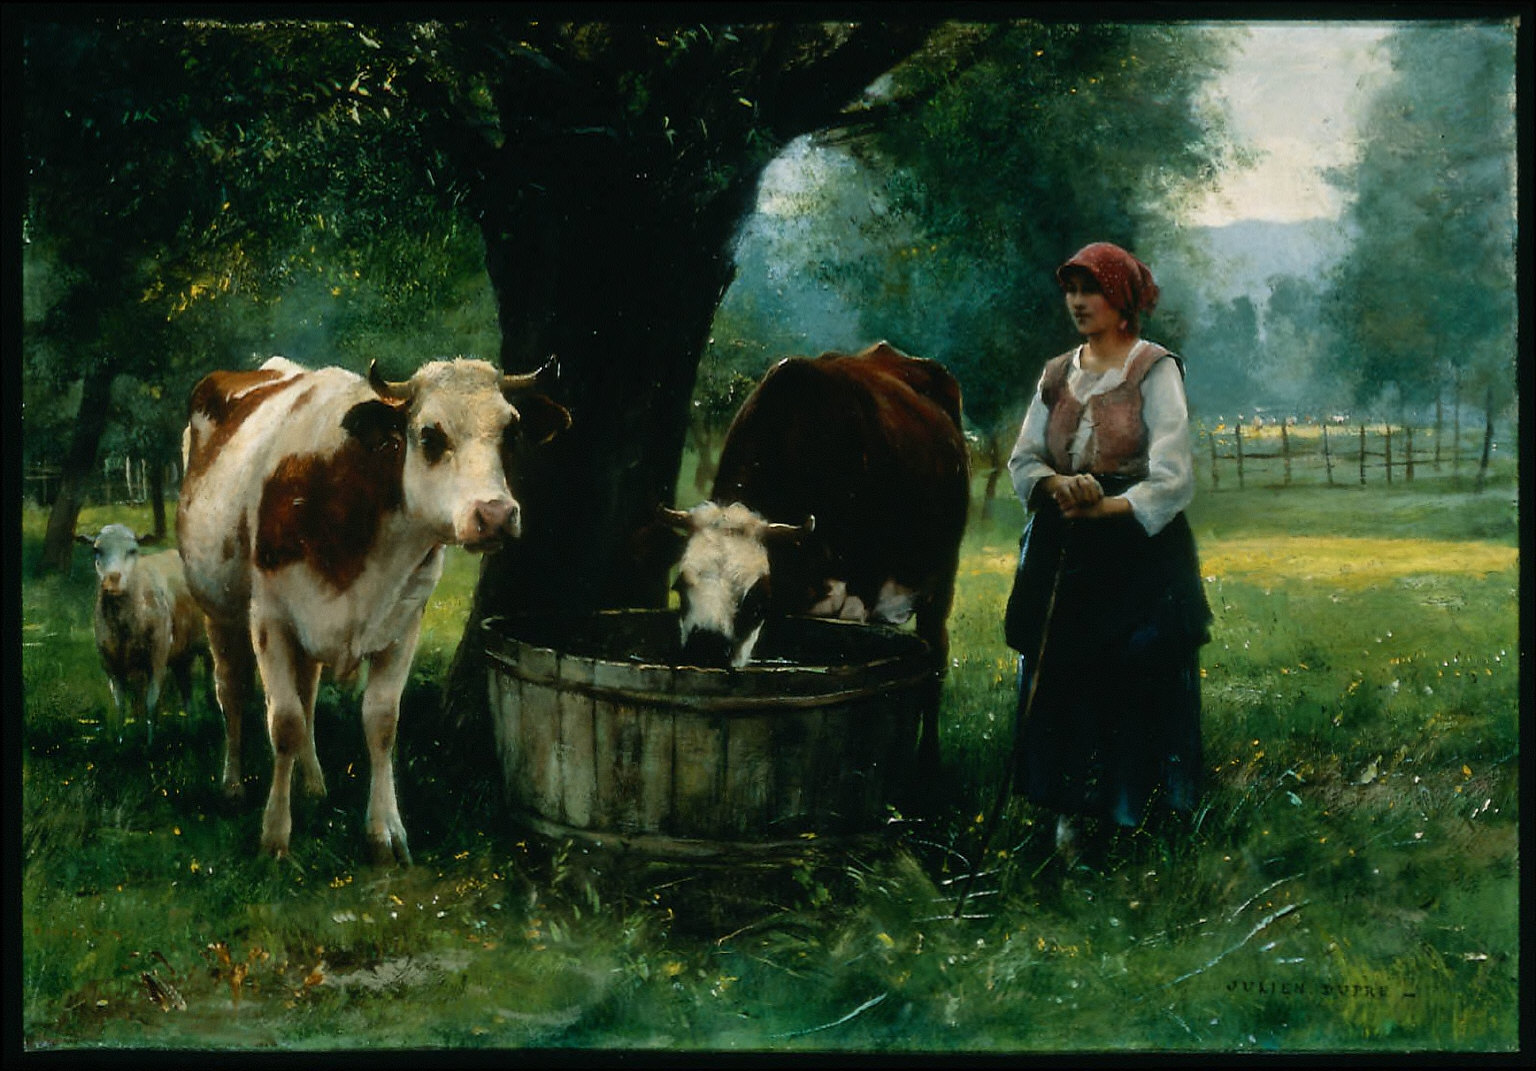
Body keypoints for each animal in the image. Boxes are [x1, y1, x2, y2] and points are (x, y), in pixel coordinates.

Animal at [175, 356, 571, 860]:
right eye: (429, 434)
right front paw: (275, 836)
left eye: (512, 431)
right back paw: (232, 786)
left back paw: (314, 783)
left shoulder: (404, 621)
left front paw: (385, 832)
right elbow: (283, 722)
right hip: (218, 606)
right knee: (232, 690)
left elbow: (380, 722)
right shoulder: (270, 618)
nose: (496, 515)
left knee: (307, 695)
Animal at [663, 342, 970, 768]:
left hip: (940, 577)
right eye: (679, 585)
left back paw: (928, 760)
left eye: (757, 599)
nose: (703, 652)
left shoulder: (854, 596)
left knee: (937, 657)